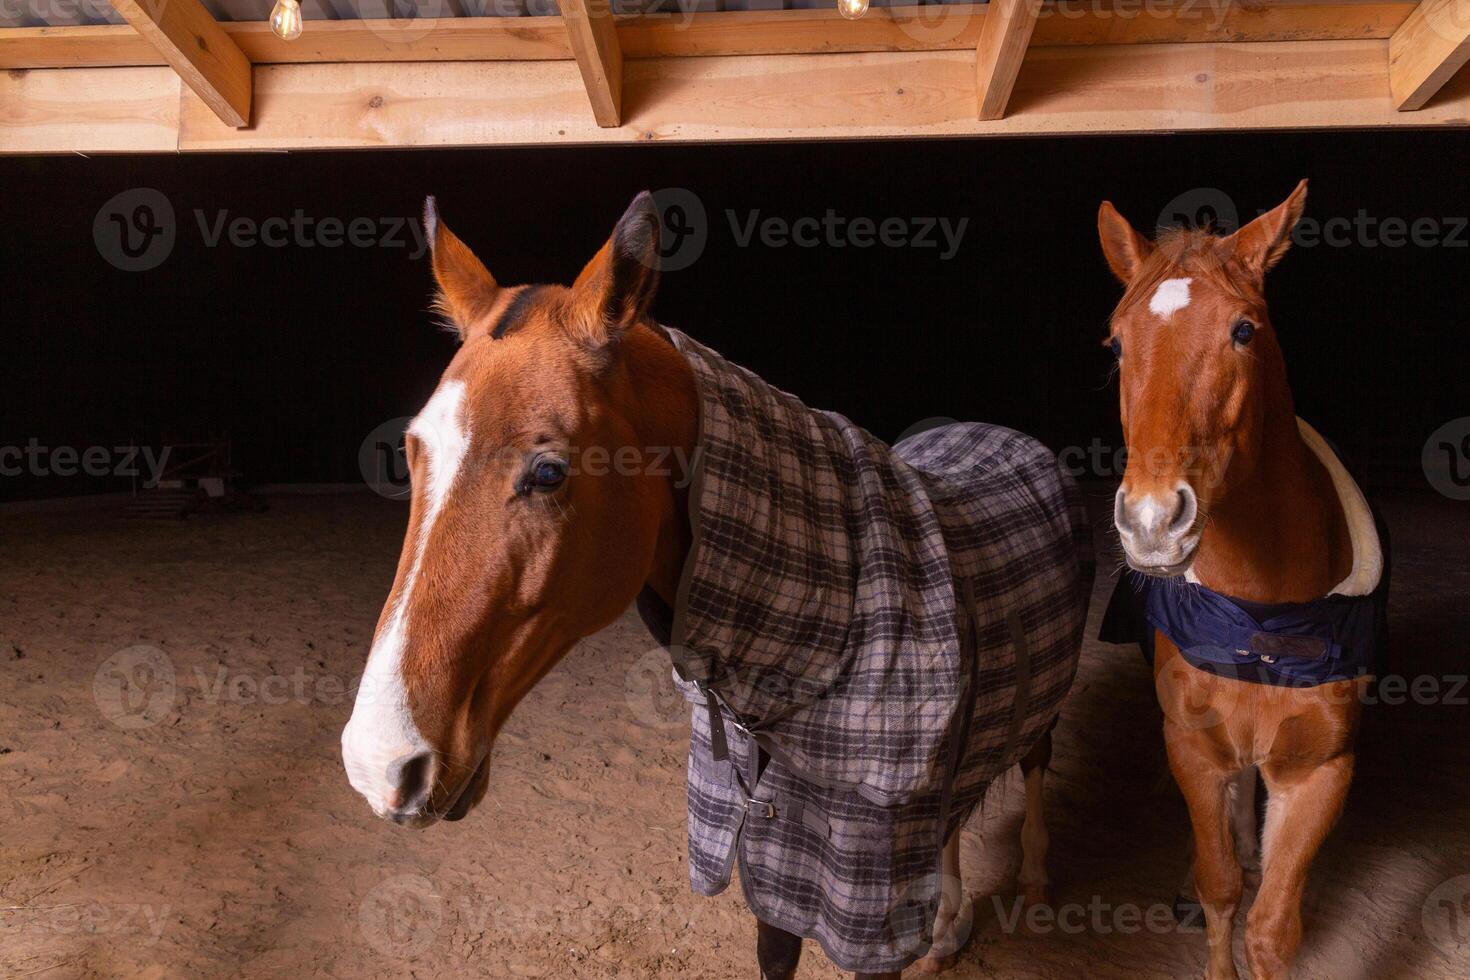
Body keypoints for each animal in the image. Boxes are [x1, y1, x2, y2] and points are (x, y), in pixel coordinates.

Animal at [336, 193, 1093, 980]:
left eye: (548, 472)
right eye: (410, 451)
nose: (379, 762)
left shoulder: (865, 904)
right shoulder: (769, 857)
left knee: (1036, 760)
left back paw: (1035, 883)